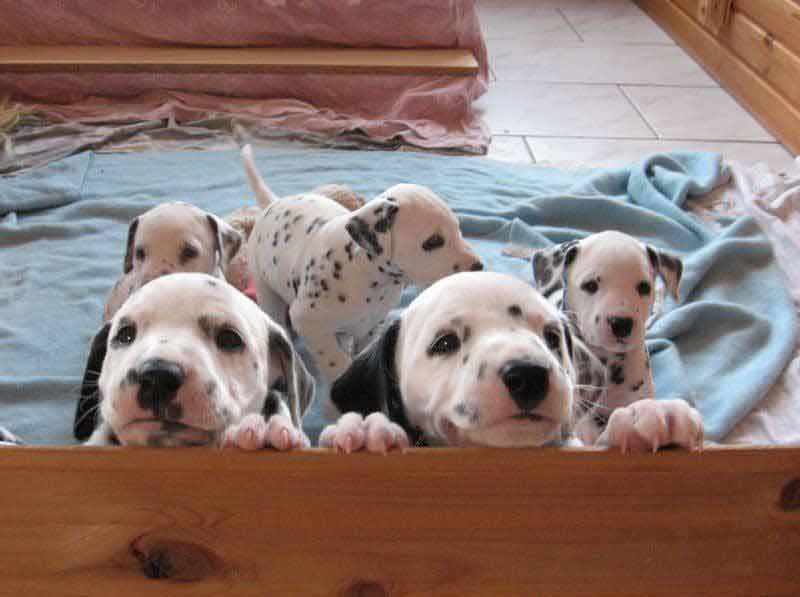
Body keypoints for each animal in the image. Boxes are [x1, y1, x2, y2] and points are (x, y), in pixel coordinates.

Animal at [242, 144, 483, 382]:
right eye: (433, 241)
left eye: (457, 227)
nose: (478, 267)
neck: (364, 274)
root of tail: (273, 202)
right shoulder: (307, 321)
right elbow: (335, 359)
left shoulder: (370, 327)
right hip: (266, 290)